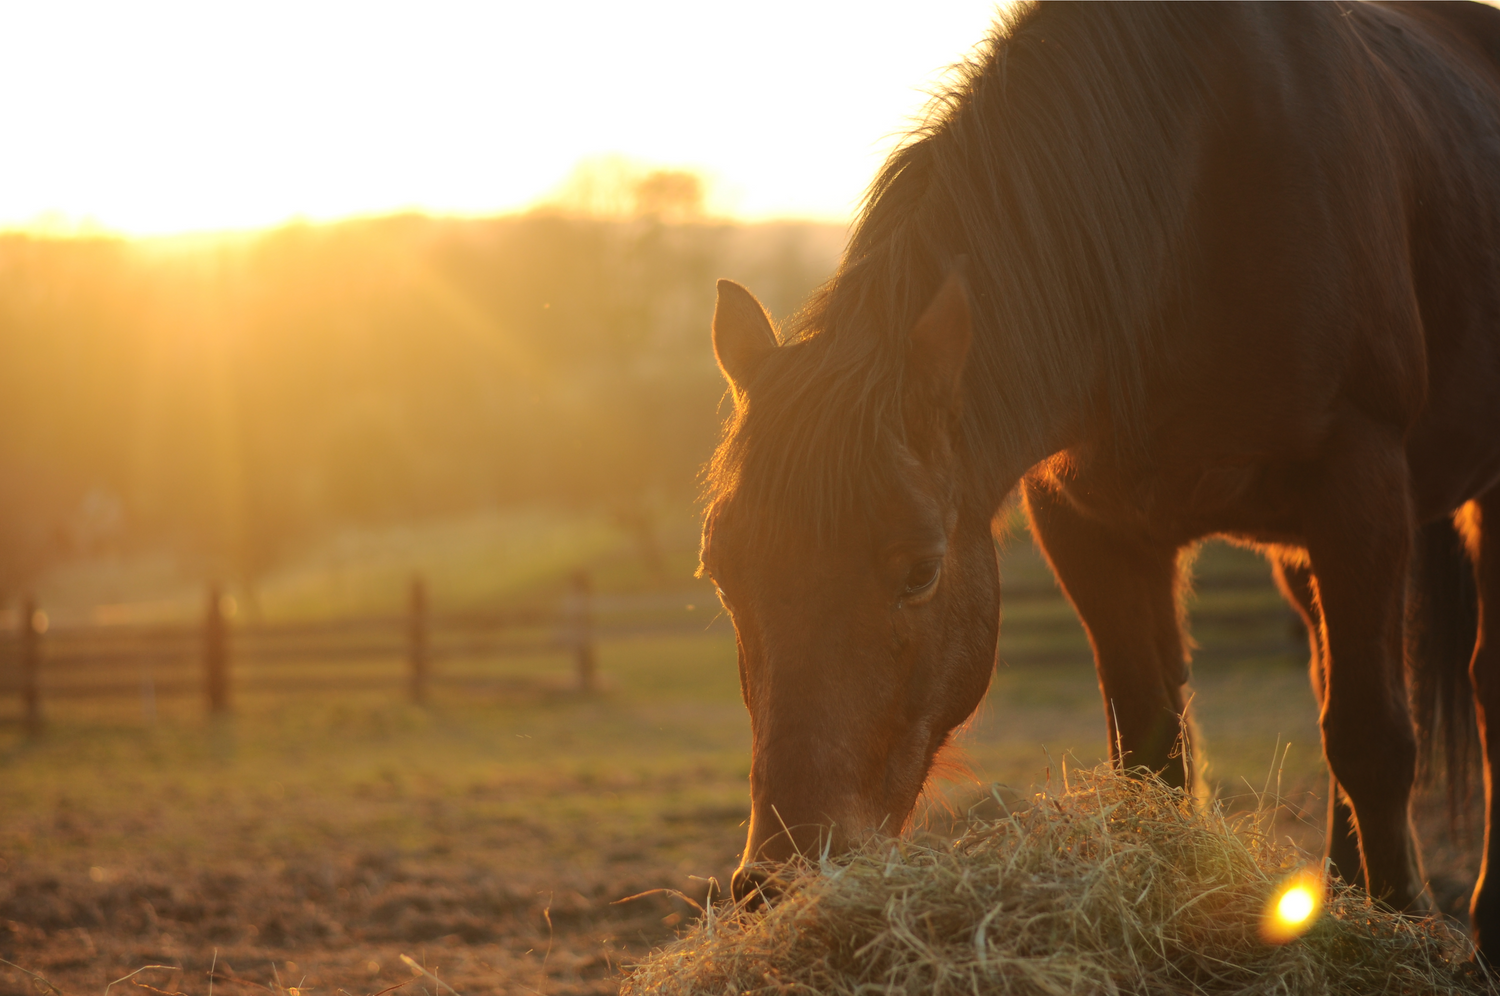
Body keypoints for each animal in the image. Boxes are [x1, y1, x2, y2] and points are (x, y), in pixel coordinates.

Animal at [702, 0, 1500, 960]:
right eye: (722, 575)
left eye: (920, 571)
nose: (781, 883)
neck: (1193, 193)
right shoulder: (1090, 523)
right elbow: (1154, 753)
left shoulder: (1360, 479)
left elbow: (1374, 737)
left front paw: (1405, 929)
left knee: (1474, 686)